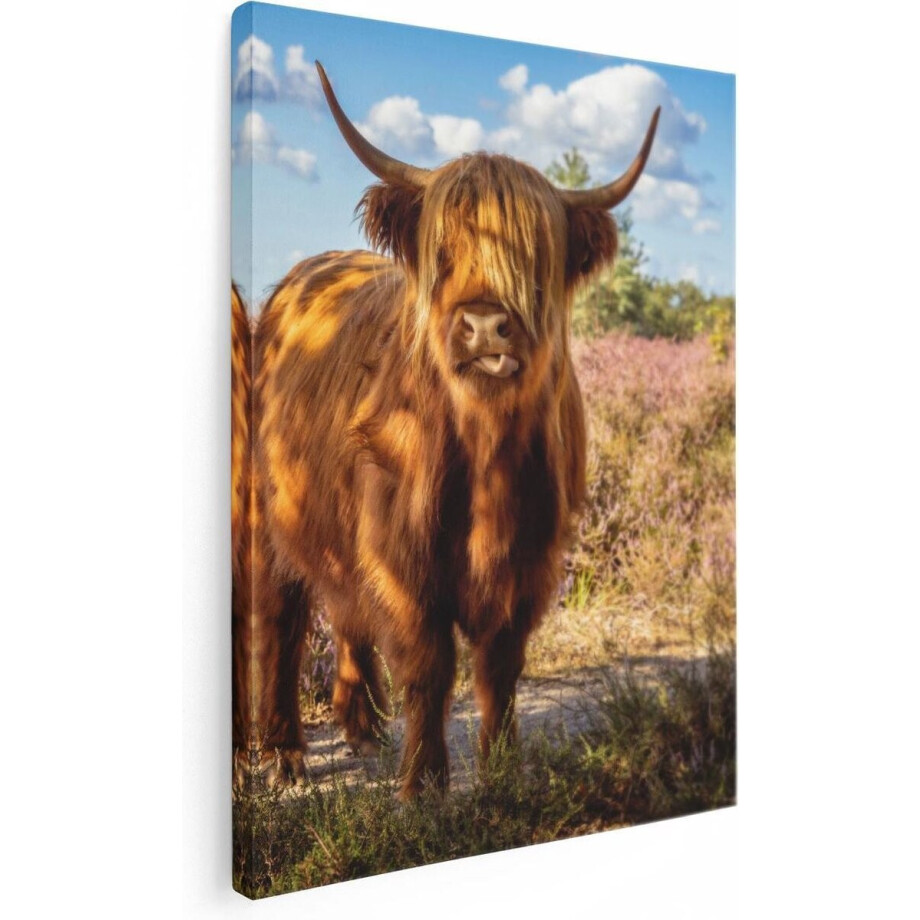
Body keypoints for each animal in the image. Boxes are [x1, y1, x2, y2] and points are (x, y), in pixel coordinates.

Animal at [232, 62, 659, 797]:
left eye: (534, 254)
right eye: (444, 248)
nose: (485, 325)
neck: (486, 454)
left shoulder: (530, 559)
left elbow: (499, 665)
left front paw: (503, 769)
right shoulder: (403, 557)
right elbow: (430, 665)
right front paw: (424, 784)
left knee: (346, 610)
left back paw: (363, 727)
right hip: (267, 518)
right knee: (281, 622)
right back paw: (286, 754)